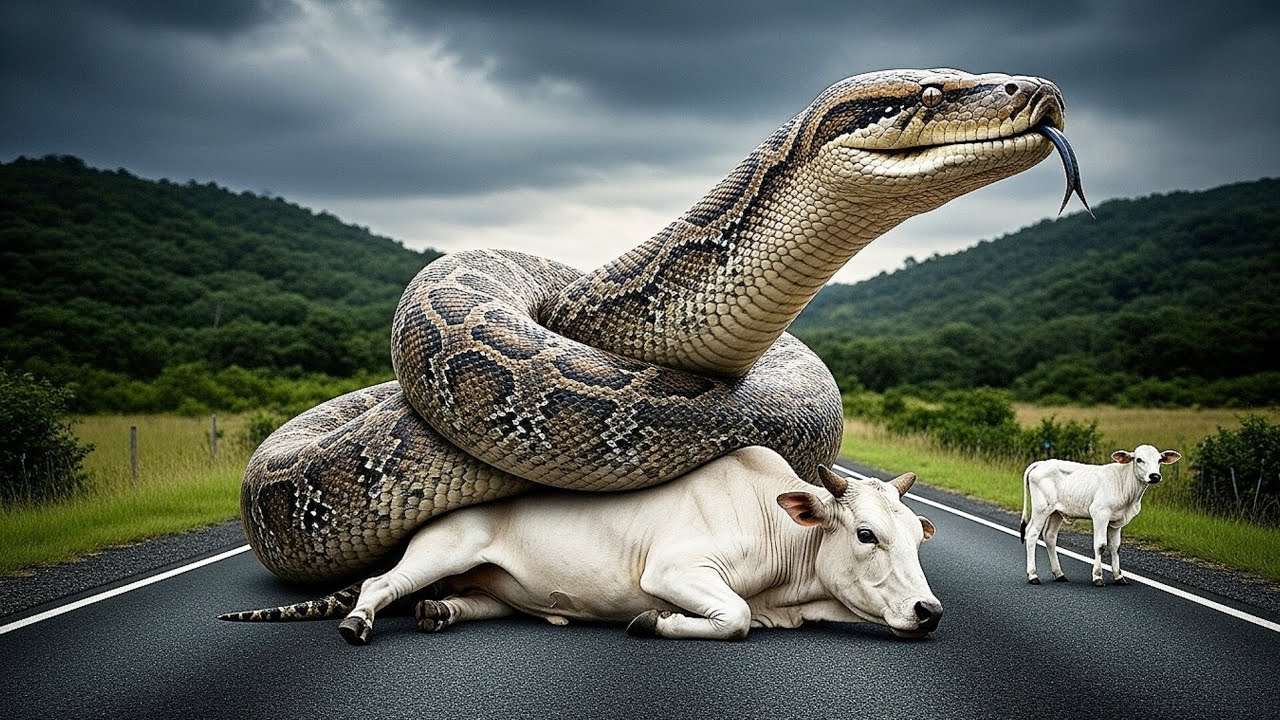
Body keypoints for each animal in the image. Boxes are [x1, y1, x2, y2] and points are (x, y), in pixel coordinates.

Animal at [335, 446, 942, 645]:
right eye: (866, 534)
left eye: (918, 537)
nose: (929, 611)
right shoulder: (673, 571)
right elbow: (737, 617)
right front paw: (655, 621)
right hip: (442, 550)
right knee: (382, 582)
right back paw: (358, 621)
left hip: (493, 590)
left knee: (467, 602)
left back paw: (438, 612)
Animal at [1021, 444, 1181, 586]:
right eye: (1139, 459)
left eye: (1159, 460)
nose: (1155, 476)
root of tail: (1042, 463)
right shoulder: (1100, 514)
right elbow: (1101, 545)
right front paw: (1097, 577)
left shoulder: (1117, 522)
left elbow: (1115, 547)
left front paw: (1119, 577)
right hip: (1041, 509)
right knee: (1032, 534)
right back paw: (1033, 575)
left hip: (1056, 512)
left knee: (1049, 536)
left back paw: (1059, 574)